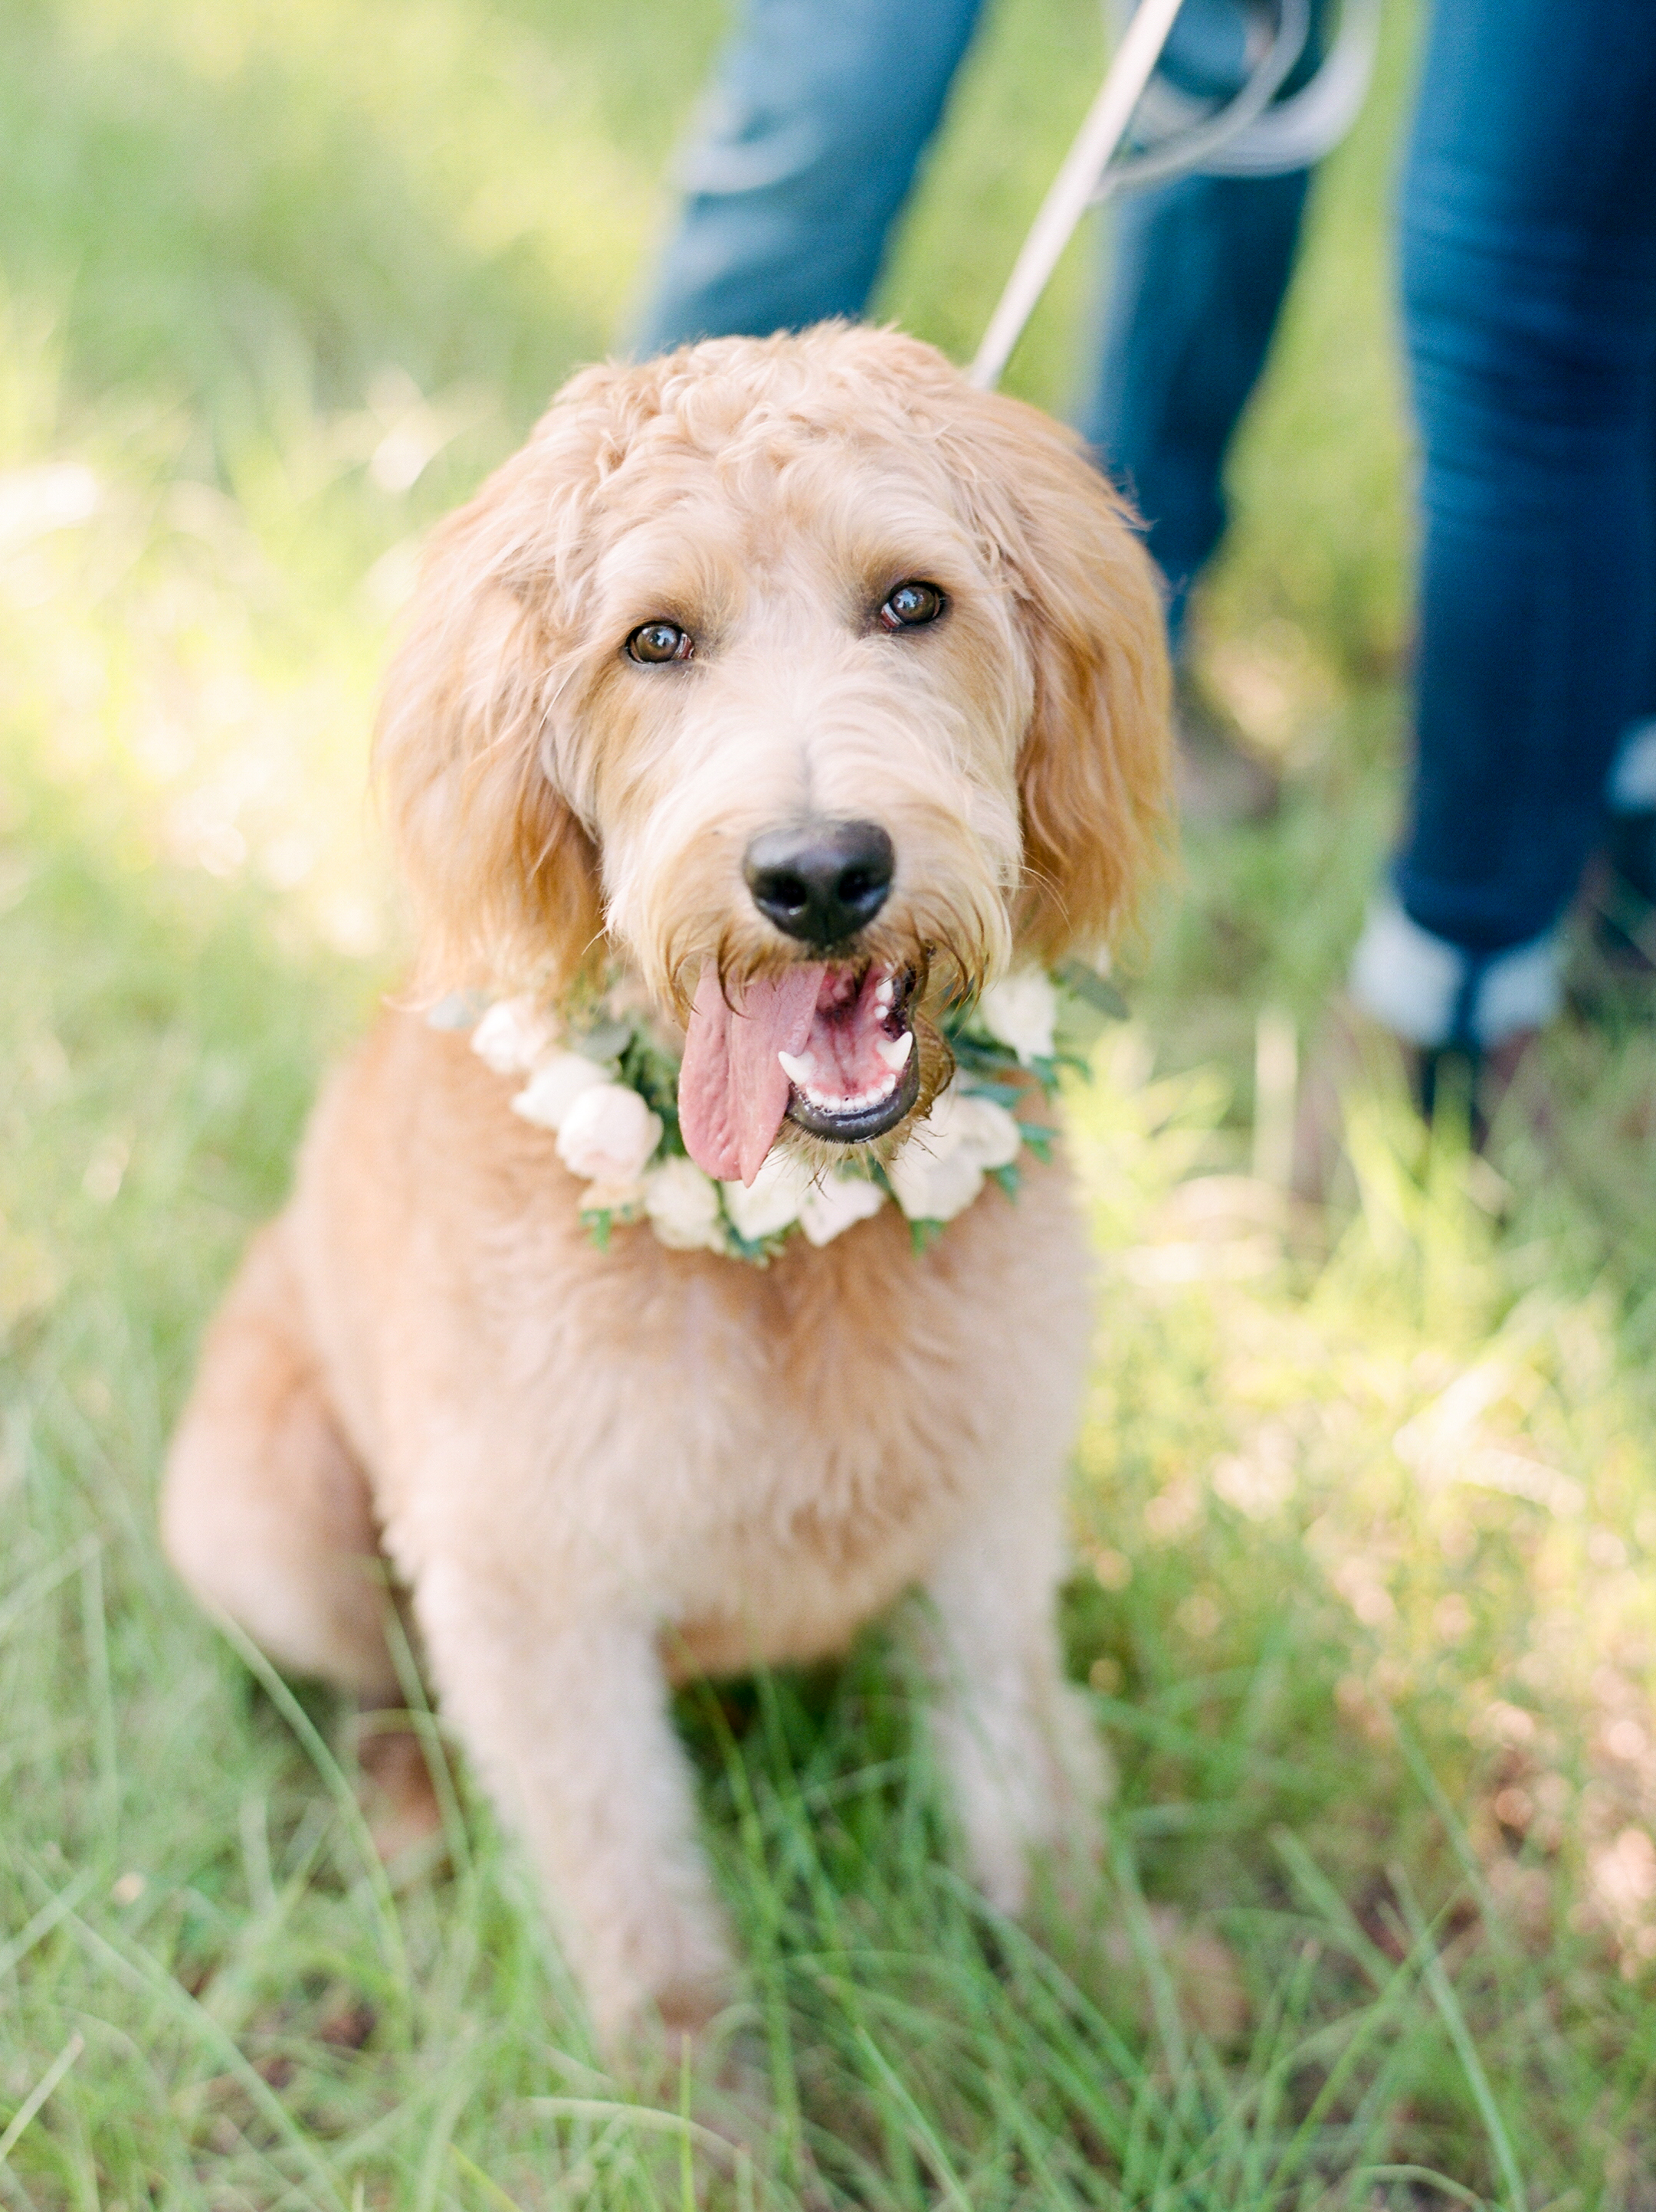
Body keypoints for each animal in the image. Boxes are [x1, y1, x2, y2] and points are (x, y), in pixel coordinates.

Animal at [161, 323, 1167, 2053]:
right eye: (656, 641)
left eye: (914, 601)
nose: (820, 875)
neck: (795, 1246)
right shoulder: (534, 1603)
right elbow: (640, 1908)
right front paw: (697, 2103)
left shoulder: (989, 1518)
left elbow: (1027, 1790)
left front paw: (1116, 1997)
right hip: (269, 1511)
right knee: (380, 1693)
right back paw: (408, 1818)